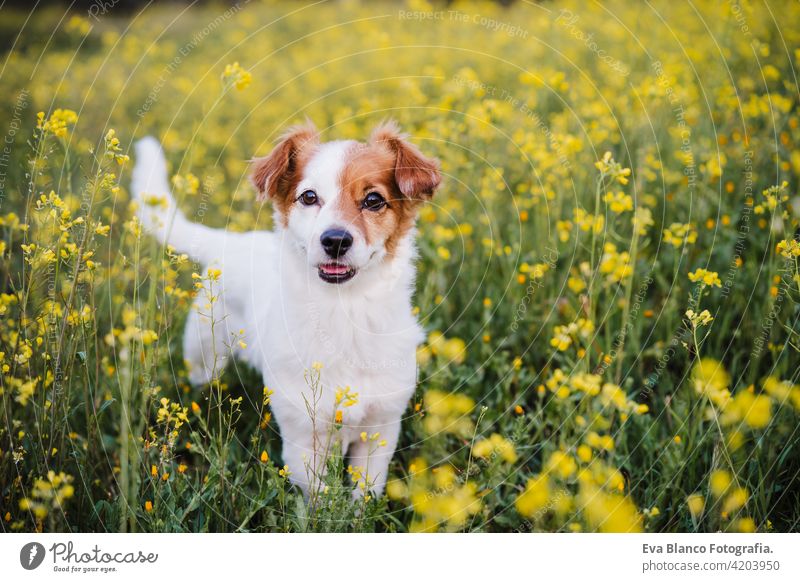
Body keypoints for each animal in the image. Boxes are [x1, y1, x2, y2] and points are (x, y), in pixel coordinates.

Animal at [134, 121, 440, 500]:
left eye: (373, 200)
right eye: (308, 197)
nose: (335, 240)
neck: (345, 313)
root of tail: (231, 241)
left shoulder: (380, 429)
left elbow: (362, 496)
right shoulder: (302, 437)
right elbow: (319, 500)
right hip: (202, 354)